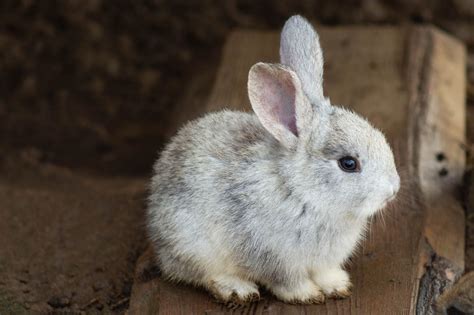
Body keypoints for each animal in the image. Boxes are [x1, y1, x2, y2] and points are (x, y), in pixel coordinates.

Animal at [147, 14, 400, 306]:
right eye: (348, 163)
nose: (393, 190)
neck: (302, 192)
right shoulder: (273, 257)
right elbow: (287, 281)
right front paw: (307, 295)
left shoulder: (323, 262)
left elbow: (325, 273)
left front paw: (337, 286)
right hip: (193, 245)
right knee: (205, 274)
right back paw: (237, 289)